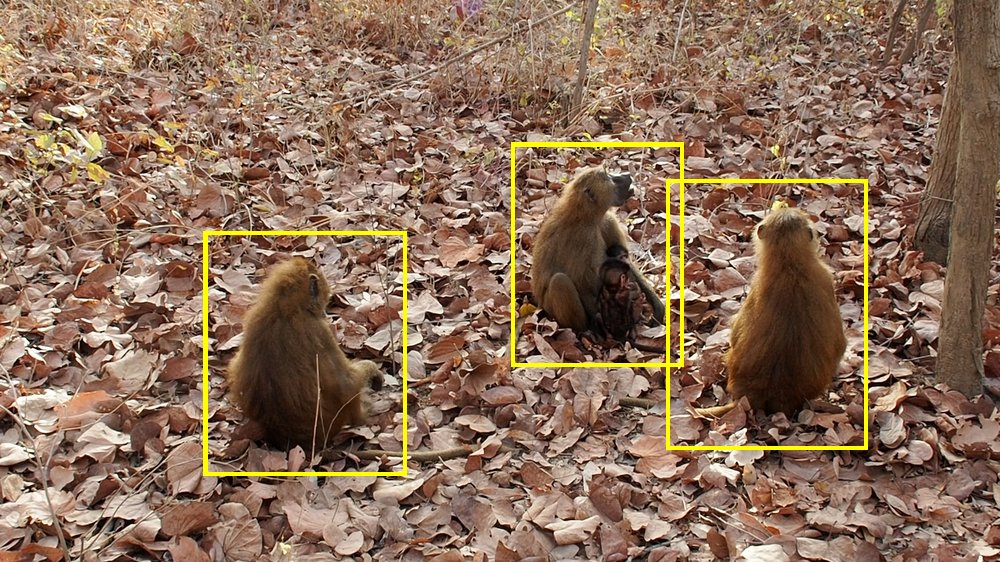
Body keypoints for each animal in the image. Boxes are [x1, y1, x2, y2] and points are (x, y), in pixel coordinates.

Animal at [531, 167, 666, 336]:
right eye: (608, 176)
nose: (626, 175)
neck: (588, 216)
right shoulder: (585, 238)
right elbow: (583, 282)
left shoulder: (608, 220)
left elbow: (624, 263)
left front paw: (657, 307)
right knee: (559, 281)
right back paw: (584, 331)